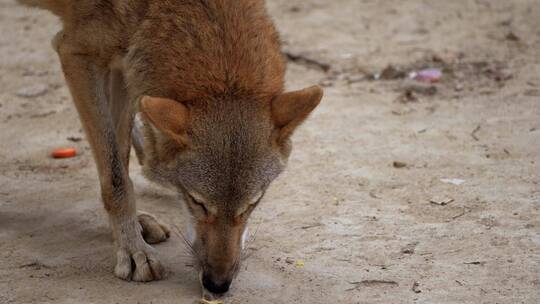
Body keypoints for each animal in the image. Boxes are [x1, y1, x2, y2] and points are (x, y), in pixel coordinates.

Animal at [16, 0, 322, 294]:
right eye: (197, 202)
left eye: (252, 204)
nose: (217, 285)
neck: (159, 9)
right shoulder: (76, 53)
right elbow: (116, 177)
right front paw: (133, 251)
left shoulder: (126, 66)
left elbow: (118, 158)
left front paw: (128, 232)